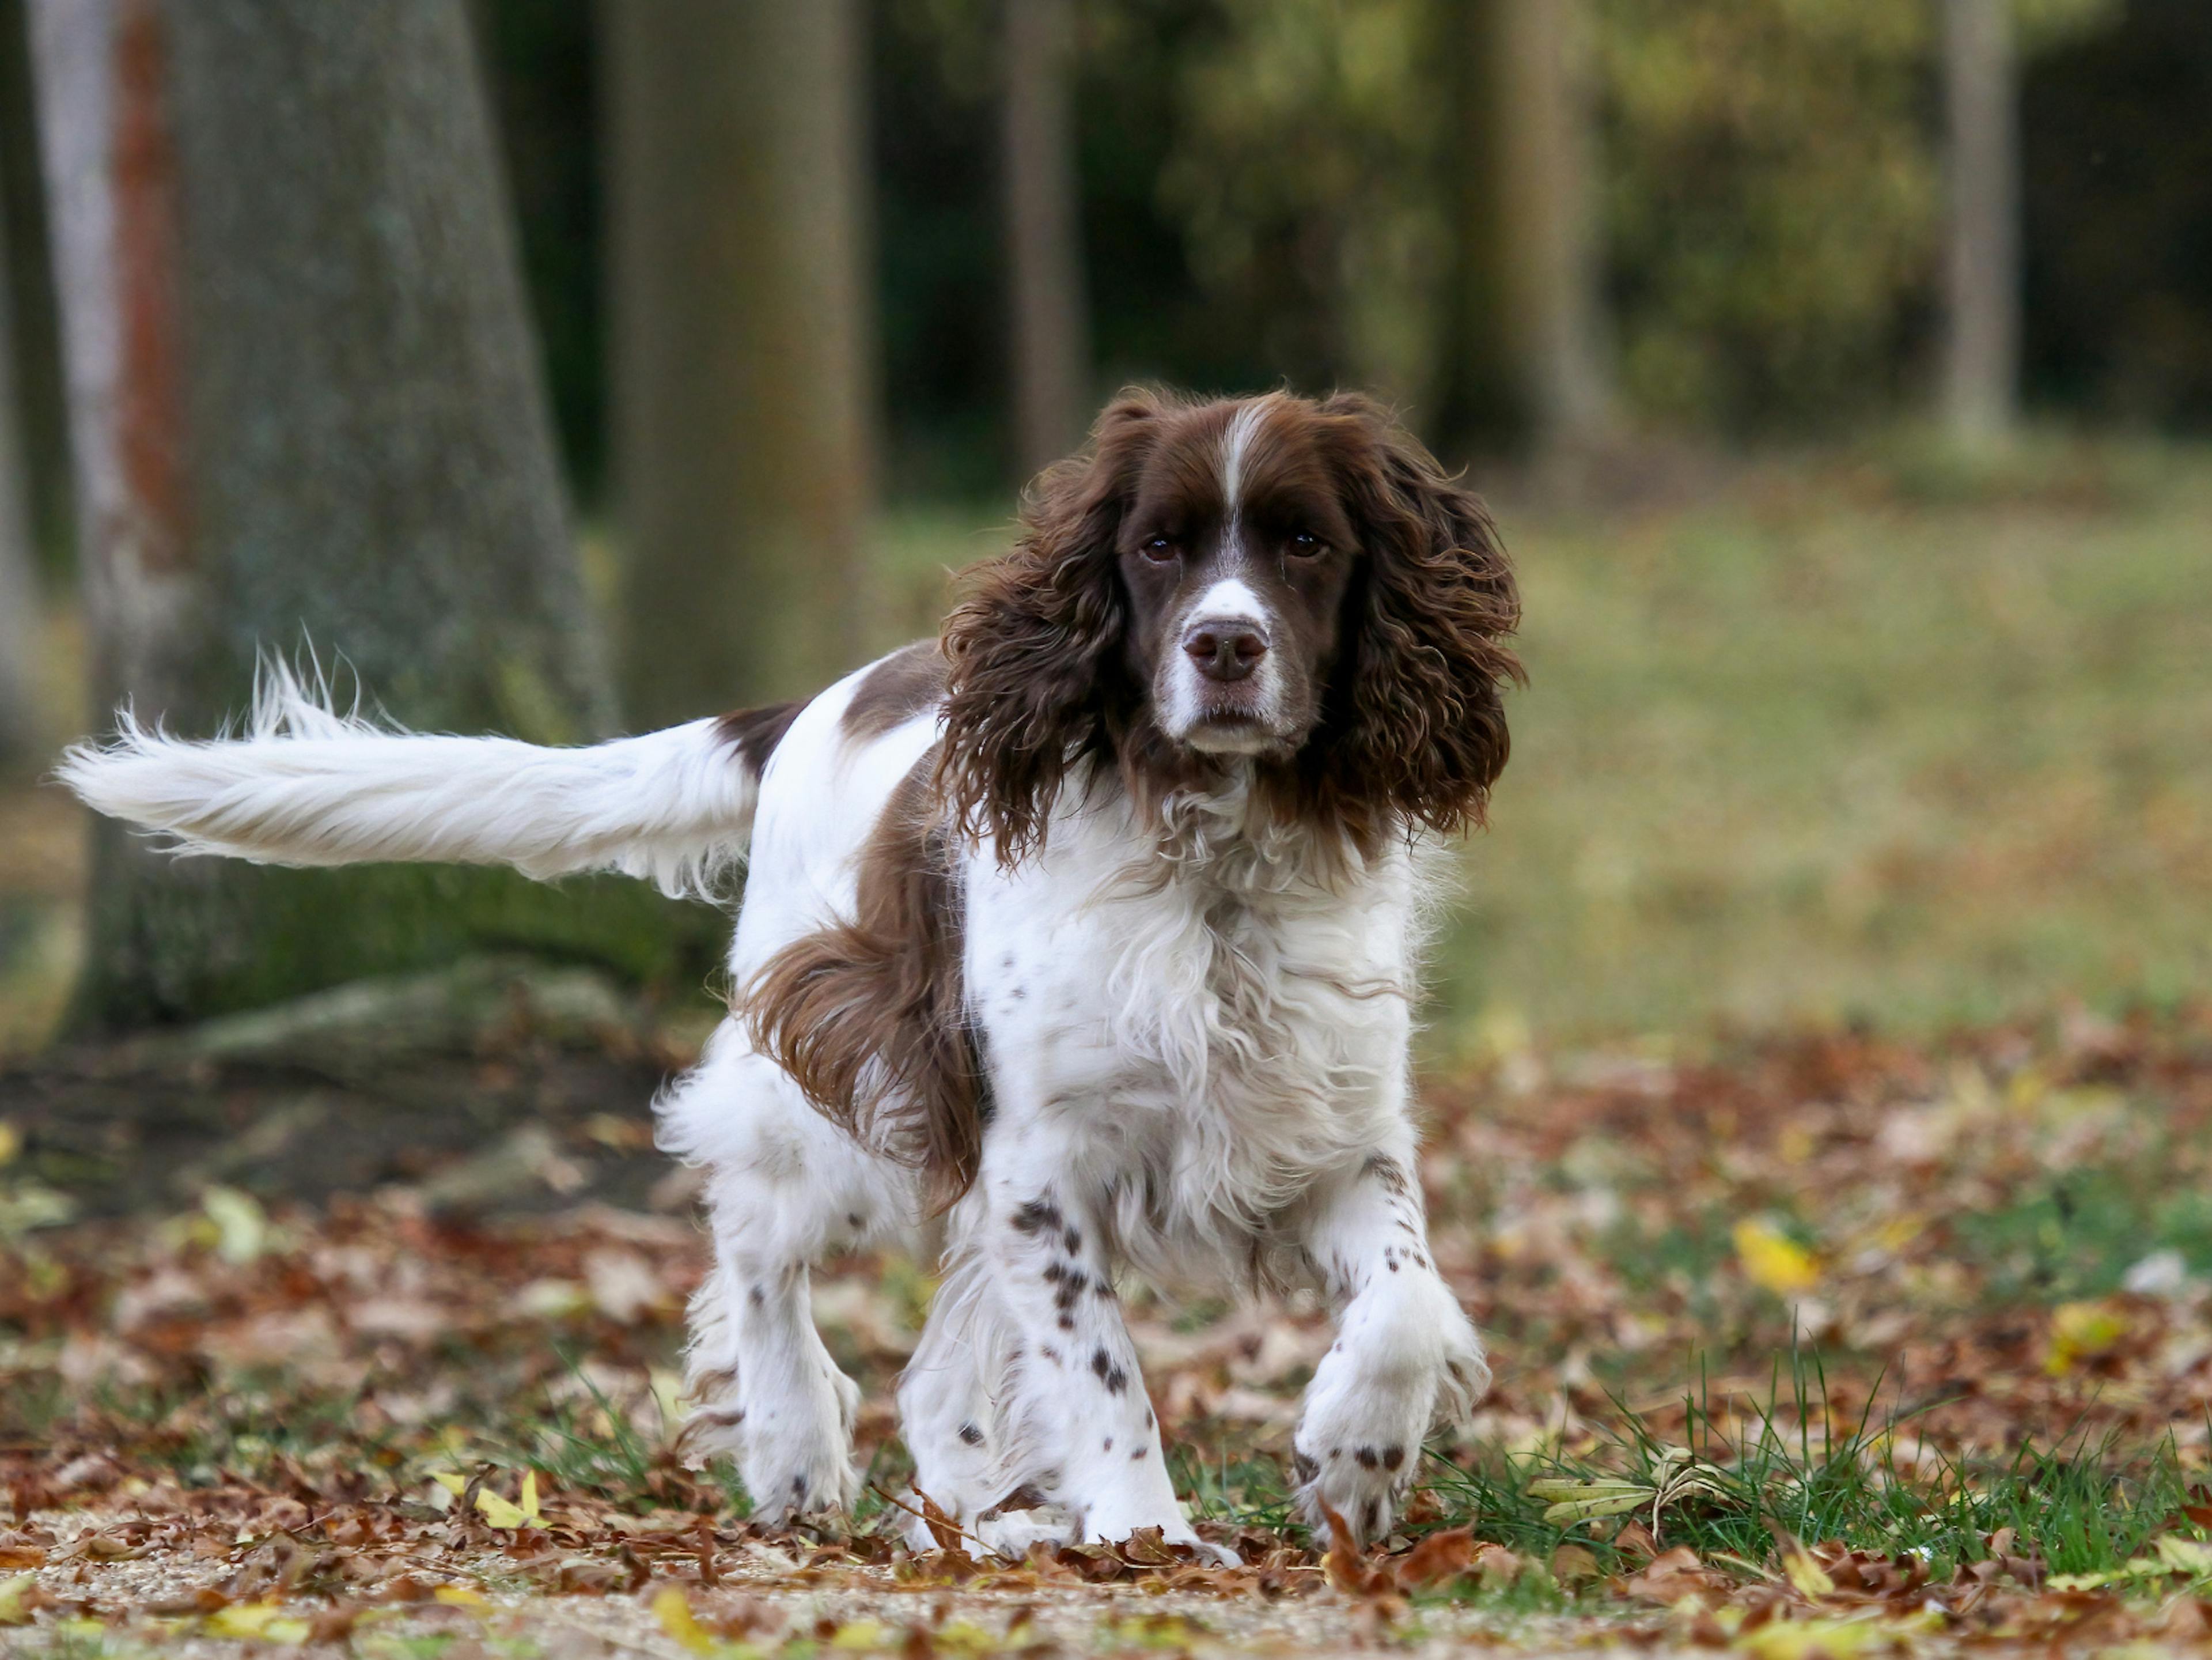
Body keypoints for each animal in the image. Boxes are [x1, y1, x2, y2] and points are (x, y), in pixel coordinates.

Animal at [65, 387, 1521, 1558]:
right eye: (1158, 545)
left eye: (1304, 542)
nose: (1224, 646)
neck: (1212, 874)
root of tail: (805, 707)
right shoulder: (1038, 1158)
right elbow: (1102, 1370)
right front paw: (1144, 1526)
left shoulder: (1328, 1138)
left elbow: (1403, 1301)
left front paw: (1354, 1461)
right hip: (850, 1089)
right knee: (754, 1234)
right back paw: (794, 1447)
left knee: (931, 1373)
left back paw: (976, 1522)